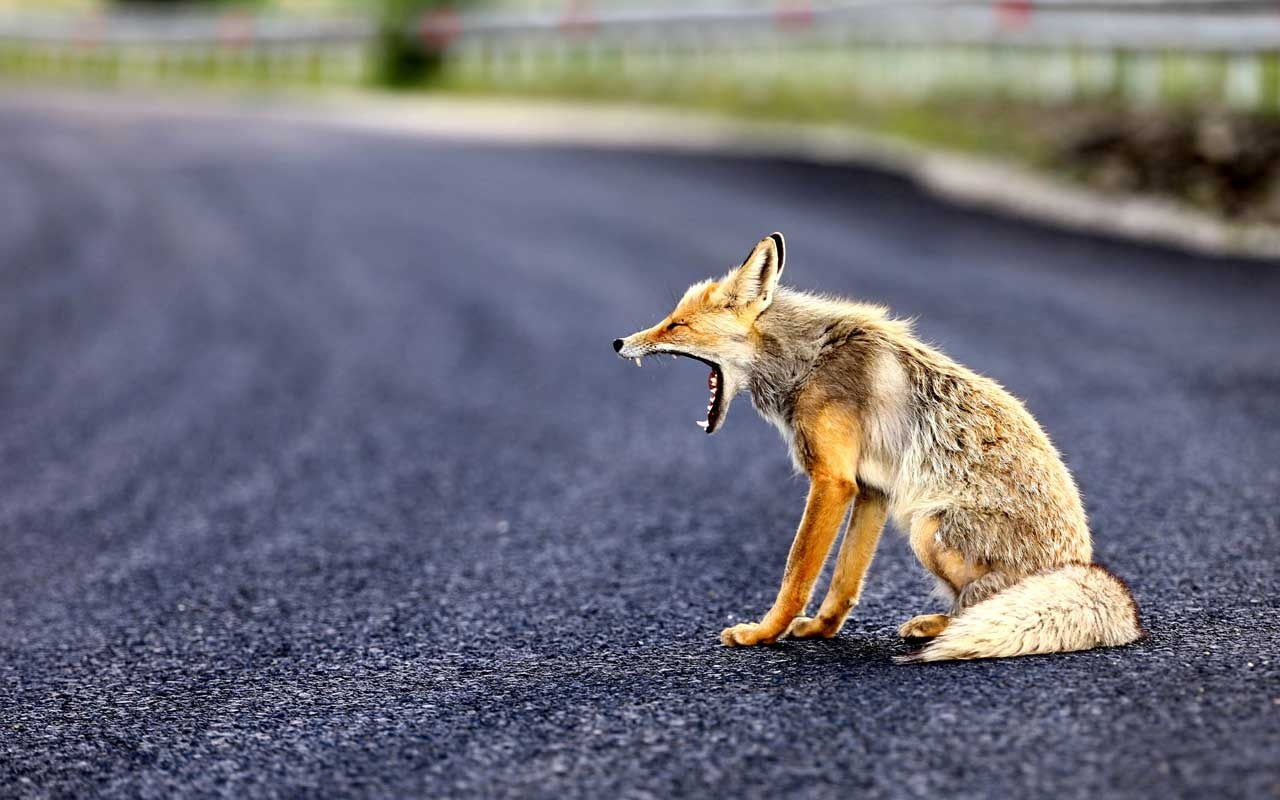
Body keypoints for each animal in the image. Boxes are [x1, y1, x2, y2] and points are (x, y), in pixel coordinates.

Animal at [609, 230, 1141, 660]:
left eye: (676, 325)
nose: (618, 342)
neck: (809, 362)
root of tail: (1077, 563)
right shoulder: (870, 489)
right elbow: (845, 579)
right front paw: (820, 630)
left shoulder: (833, 480)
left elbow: (796, 574)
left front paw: (763, 634)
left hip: (928, 527)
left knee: (983, 603)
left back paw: (946, 628)